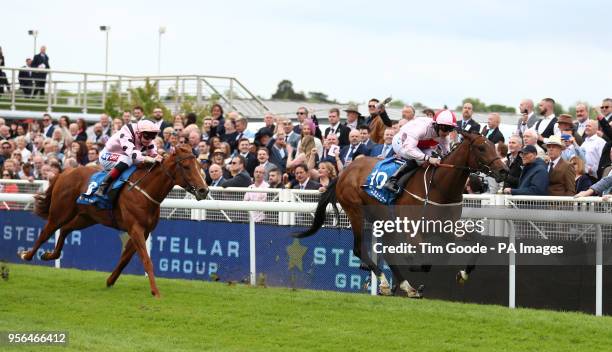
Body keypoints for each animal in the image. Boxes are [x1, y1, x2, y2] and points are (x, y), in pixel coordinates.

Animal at [18, 145, 208, 296]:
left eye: (200, 166)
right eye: (186, 167)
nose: (203, 190)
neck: (143, 190)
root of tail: (65, 172)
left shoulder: (144, 231)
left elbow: (125, 258)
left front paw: (110, 281)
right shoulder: (135, 228)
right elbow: (146, 260)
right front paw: (155, 292)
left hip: (87, 217)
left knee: (65, 229)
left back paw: (49, 255)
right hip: (60, 212)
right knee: (46, 232)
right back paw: (27, 255)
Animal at [296, 132, 506, 296]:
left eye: (493, 146)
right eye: (481, 147)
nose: (504, 170)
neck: (440, 186)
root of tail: (345, 171)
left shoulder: (447, 227)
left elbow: (476, 242)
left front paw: (463, 274)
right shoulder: (413, 230)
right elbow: (425, 259)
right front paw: (412, 264)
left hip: (383, 219)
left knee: (387, 252)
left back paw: (404, 286)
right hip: (356, 211)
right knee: (359, 249)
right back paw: (386, 282)